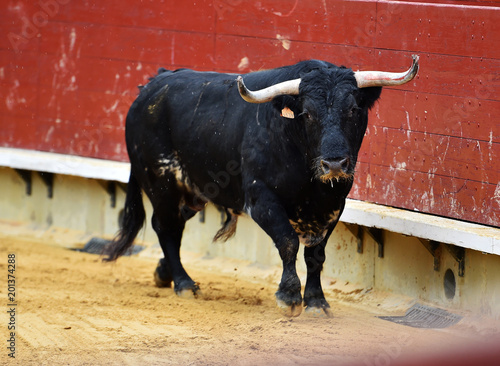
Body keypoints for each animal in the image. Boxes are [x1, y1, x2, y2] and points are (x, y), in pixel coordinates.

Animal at [104, 55, 418, 316]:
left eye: (353, 110)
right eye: (307, 114)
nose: (335, 164)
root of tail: (150, 86)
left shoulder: (333, 205)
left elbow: (316, 255)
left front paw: (316, 301)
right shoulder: (262, 199)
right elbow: (288, 242)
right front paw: (289, 297)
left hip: (193, 191)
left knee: (173, 224)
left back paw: (164, 273)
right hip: (161, 183)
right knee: (166, 227)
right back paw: (184, 284)